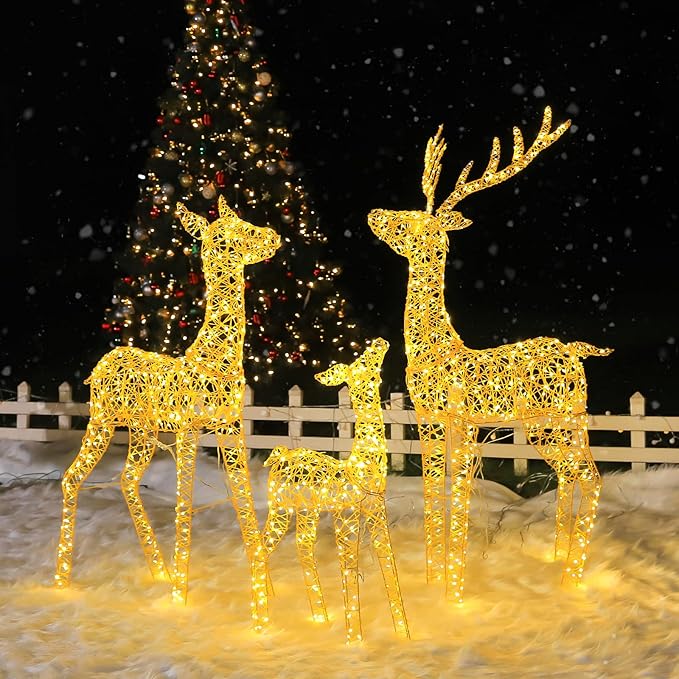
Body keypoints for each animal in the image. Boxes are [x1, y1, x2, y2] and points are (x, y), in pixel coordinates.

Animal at [55, 195, 281, 631]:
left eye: (244, 219)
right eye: (235, 231)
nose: (273, 236)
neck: (214, 360)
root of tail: (100, 365)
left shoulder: (230, 428)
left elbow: (244, 503)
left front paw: (264, 600)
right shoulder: (188, 430)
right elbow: (183, 508)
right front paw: (182, 597)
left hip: (141, 432)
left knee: (126, 480)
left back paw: (159, 570)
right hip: (101, 422)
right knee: (71, 478)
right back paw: (62, 579)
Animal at [261, 338, 410, 644]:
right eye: (362, 360)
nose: (380, 341)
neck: (359, 468)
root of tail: (279, 456)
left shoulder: (377, 516)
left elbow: (388, 566)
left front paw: (403, 634)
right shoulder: (346, 519)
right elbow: (349, 570)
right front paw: (354, 640)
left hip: (306, 511)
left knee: (300, 548)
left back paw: (317, 615)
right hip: (280, 508)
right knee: (260, 546)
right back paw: (263, 618)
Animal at [367, 106, 612, 604]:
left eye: (413, 221)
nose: (374, 212)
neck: (436, 347)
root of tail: (576, 351)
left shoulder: (461, 421)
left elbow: (459, 498)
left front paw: (454, 592)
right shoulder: (429, 421)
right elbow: (433, 494)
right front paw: (433, 580)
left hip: (553, 420)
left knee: (590, 477)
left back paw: (571, 579)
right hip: (564, 421)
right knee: (574, 476)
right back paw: (558, 559)